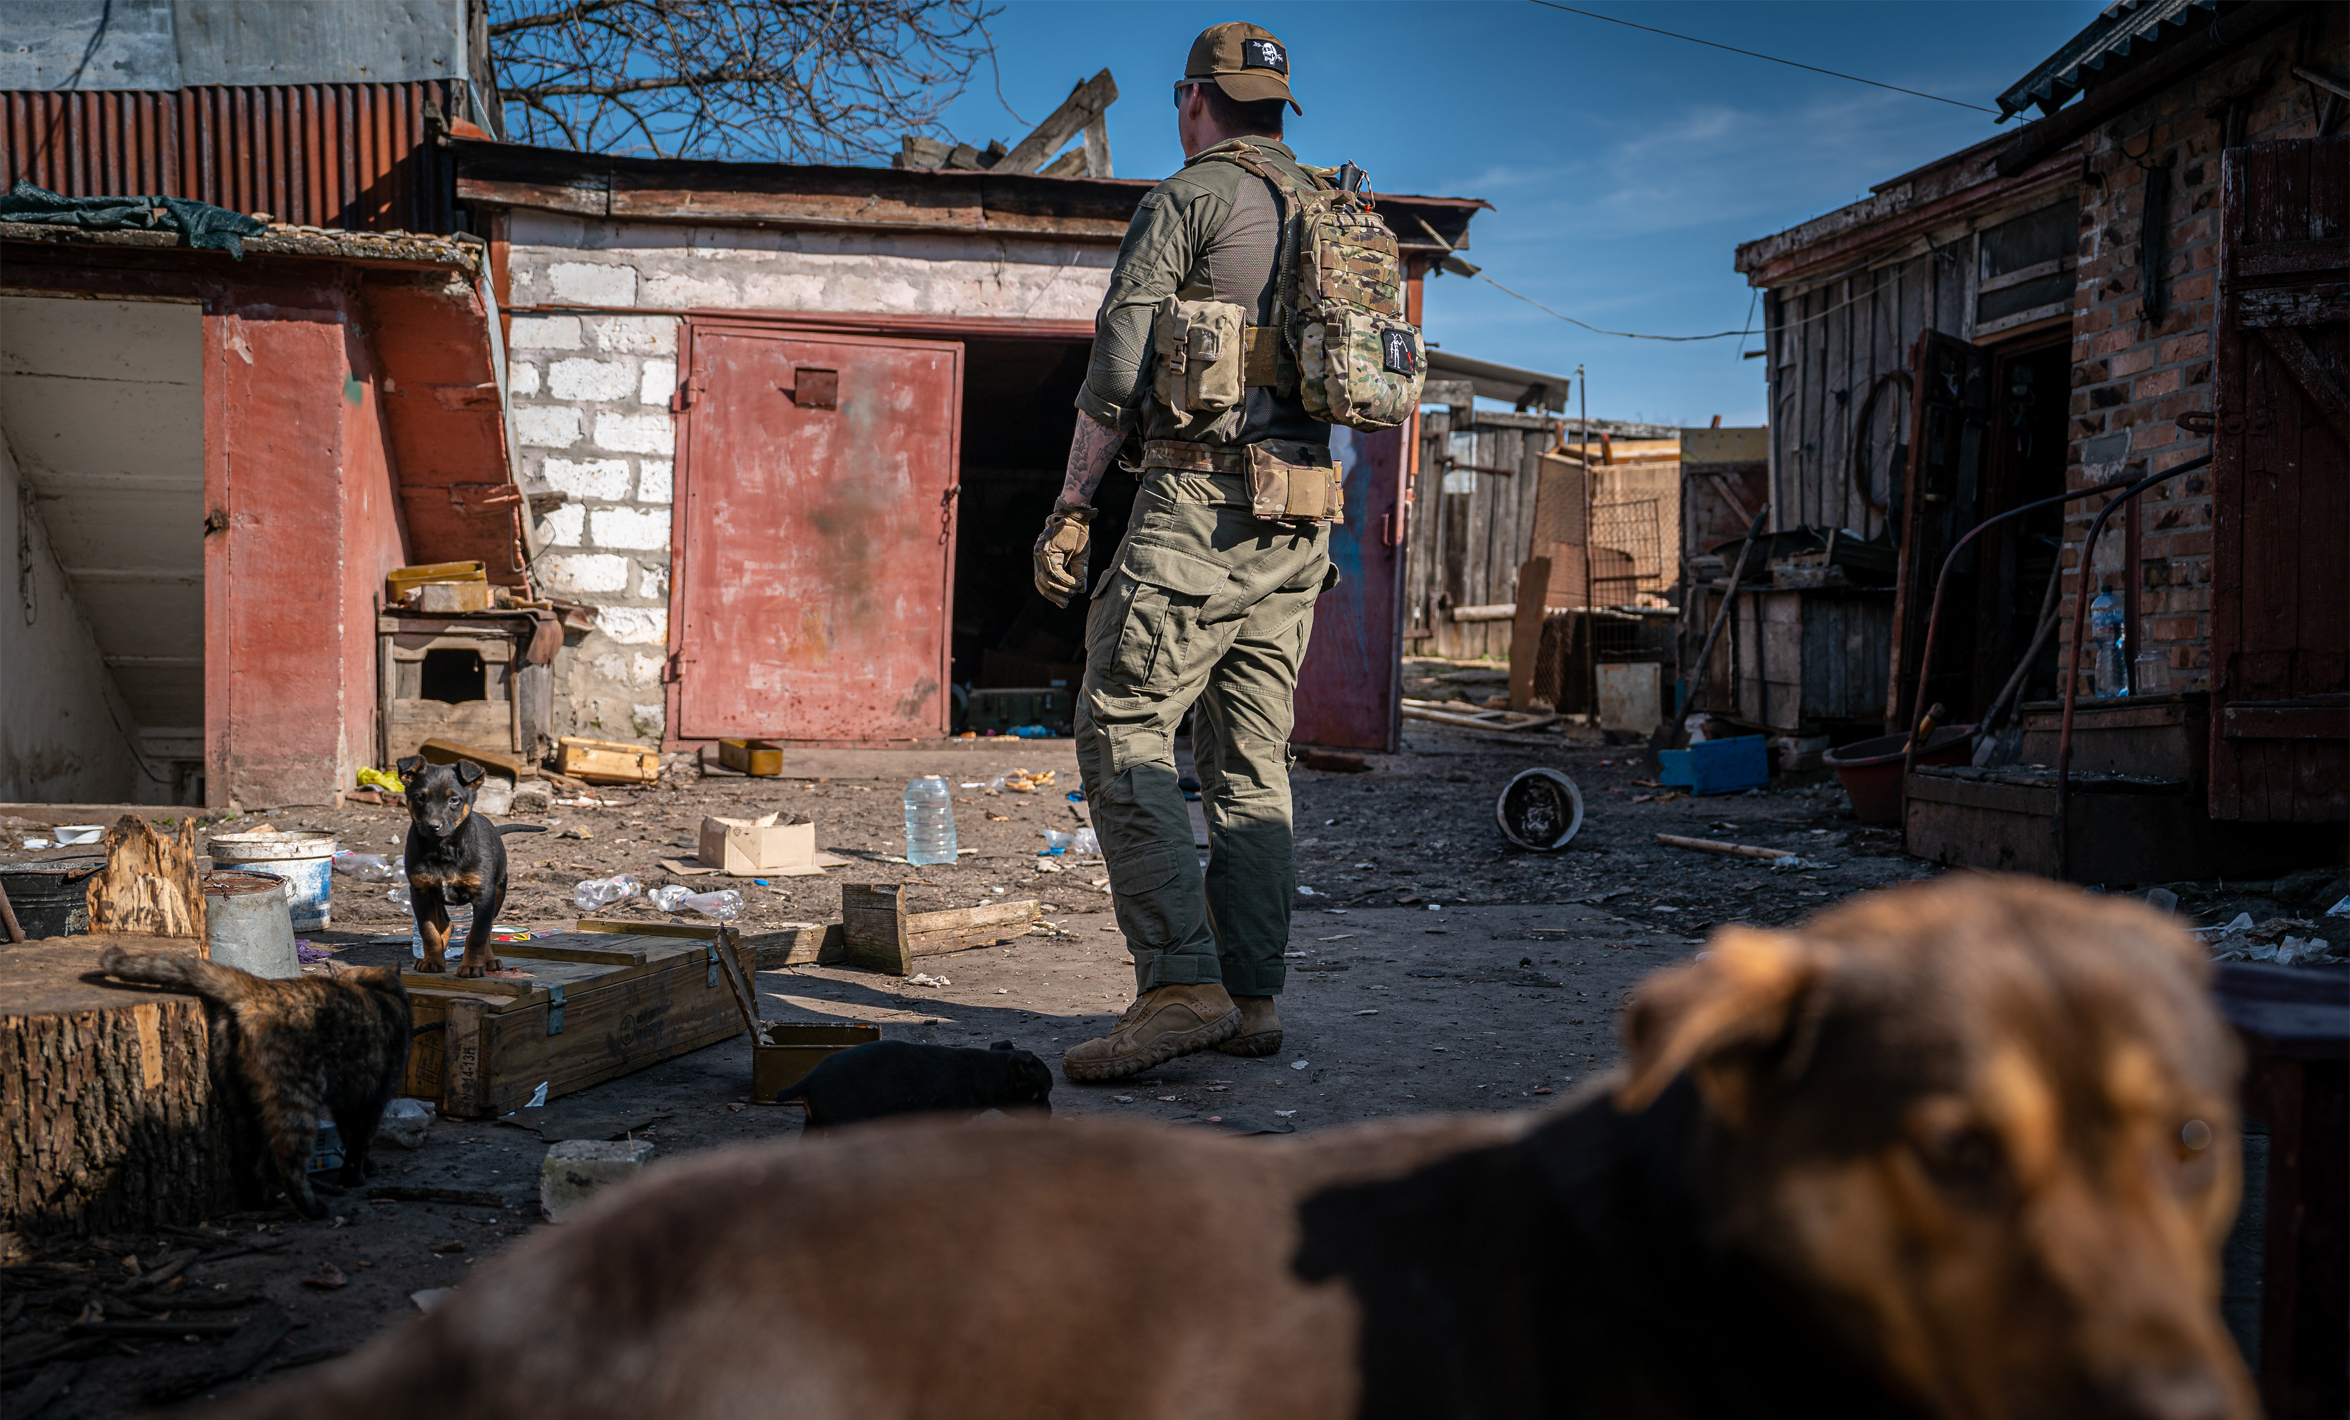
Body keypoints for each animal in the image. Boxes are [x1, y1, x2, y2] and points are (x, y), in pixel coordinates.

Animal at [98, 949, 411, 1213]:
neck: (376, 990)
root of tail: (259, 989)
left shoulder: (347, 1103)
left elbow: (350, 1137)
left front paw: (365, 1168)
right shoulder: (375, 1099)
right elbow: (360, 1141)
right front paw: (355, 1177)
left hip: (243, 1101)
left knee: (250, 1158)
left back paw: (261, 1201)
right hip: (298, 1098)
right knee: (289, 1161)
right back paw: (311, 1208)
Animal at [392, 752, 512, 978]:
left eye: (454, 799)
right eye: (420, 797)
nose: (433, 826)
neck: (443, 849)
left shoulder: (484, 895)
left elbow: (477, 934)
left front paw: (472, 966)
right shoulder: (421, 891)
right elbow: (429, 931)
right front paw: (432, 961)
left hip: (499, 892)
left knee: (486, 930)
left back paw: (489, 960)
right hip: (436, 898)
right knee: (447, 925)